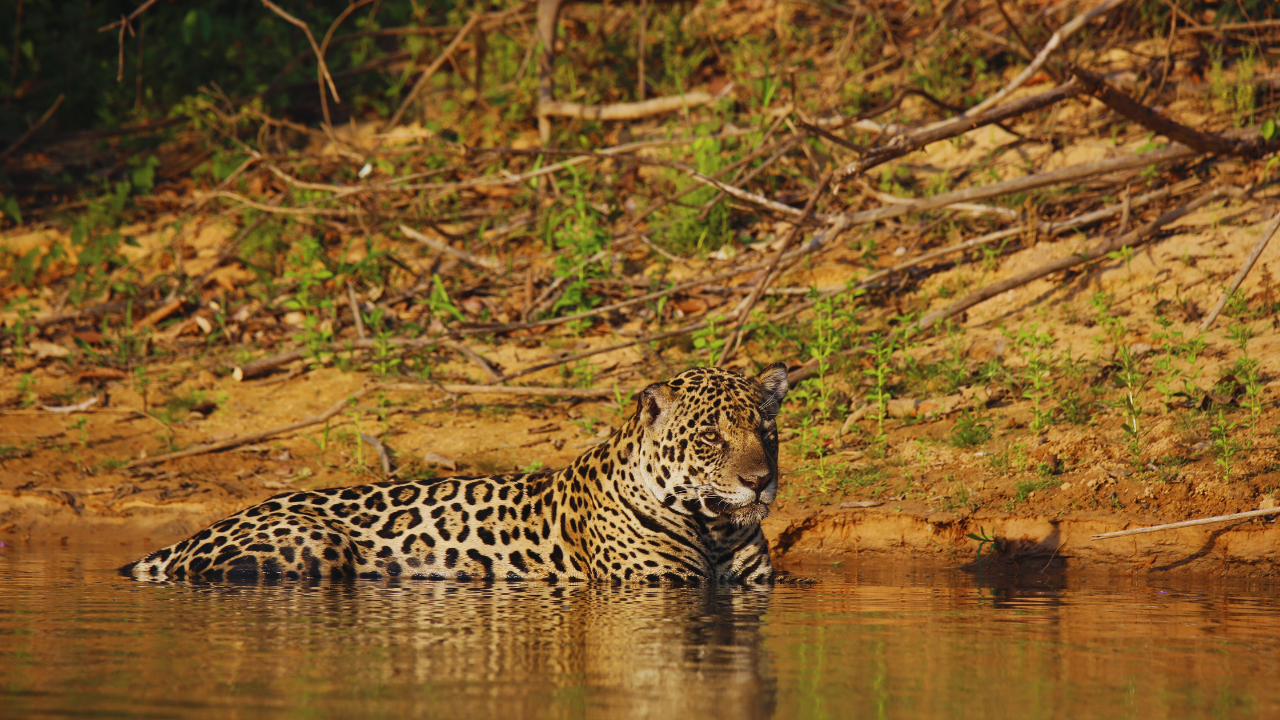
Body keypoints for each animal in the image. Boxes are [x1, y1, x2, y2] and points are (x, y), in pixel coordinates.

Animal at [122, 363, 791, 584]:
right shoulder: (656, 584)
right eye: (710, 438)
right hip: (311, 544)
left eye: (766, 433)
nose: (759, 481)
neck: (714, 527)